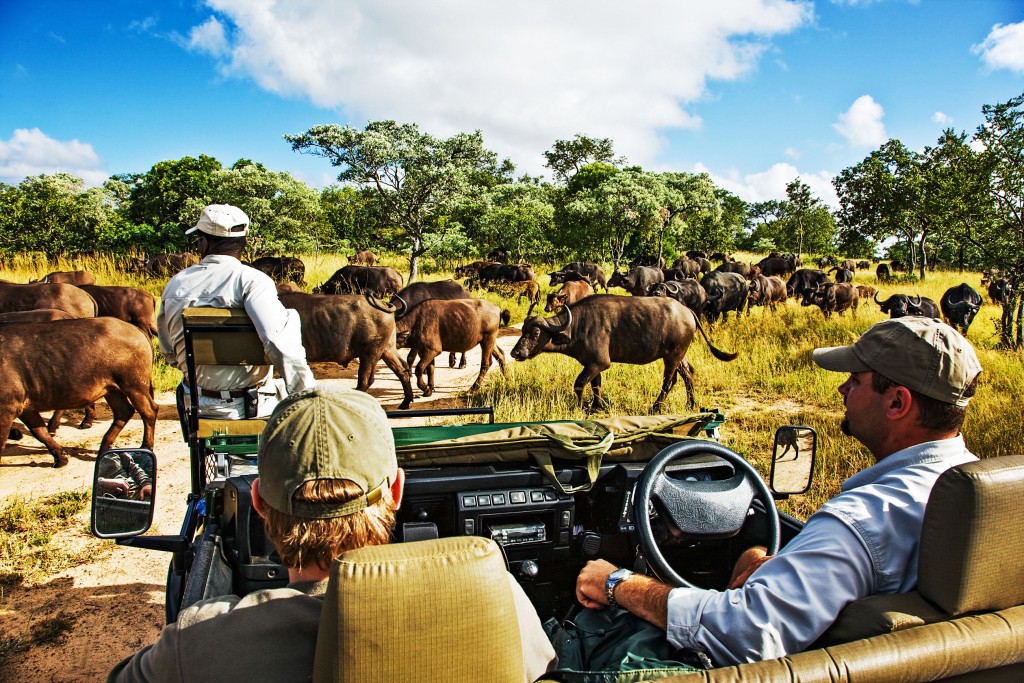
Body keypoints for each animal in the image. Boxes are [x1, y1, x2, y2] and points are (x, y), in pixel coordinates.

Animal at [0, 317, 155, 466]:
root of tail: (136, 329)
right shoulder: (25, 409)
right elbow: (41, 432)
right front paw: (60, 458)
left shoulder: (7, 410)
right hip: (112, 390)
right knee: (124, 411)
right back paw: (104, 448)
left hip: (134, 386)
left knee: (149, 412)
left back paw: (145, 446)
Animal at [509, 294, 737, 411]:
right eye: (522, 330)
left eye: (536, 332)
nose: (516, 352)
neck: (577, 326)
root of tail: (687, 311)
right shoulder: (593, 364)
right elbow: (596, 385)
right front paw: (599, 405)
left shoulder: (599, 362)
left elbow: (579, 384)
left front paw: (581, 406)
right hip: (679, 355)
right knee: (689, 374)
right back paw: (691, 404)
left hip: (673, 356)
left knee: (669, 381)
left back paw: (656, 407)